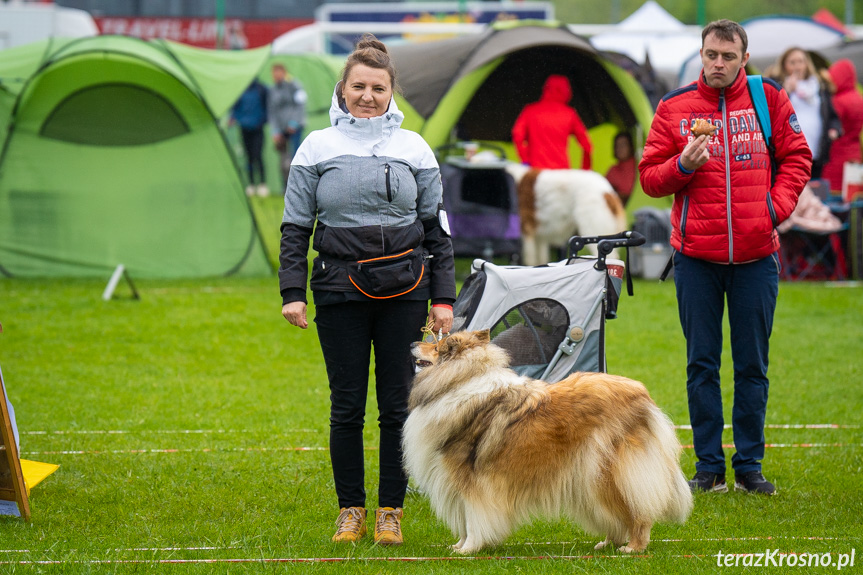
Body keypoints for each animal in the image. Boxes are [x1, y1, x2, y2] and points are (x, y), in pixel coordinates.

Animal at [404, 330, 696, 556]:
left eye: (436, 346)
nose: (411, 342)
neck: (458, 381)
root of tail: (642, 395)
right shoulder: (459, 480)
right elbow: (465, 520)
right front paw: (459, 546)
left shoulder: (472, 479)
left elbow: (474, 518)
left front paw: (468, 550)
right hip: (593, 476)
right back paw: (607, 543)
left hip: (611, 472)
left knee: (639, 511)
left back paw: (633, 547)